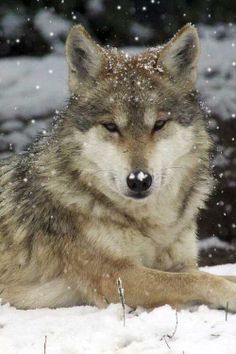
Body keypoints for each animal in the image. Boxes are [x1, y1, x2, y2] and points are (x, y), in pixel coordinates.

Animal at [0, 22, 236, 310]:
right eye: (111, 126)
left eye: (159, 124)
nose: (139, 180)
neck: (151, 225)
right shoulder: (115, 276)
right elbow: (200, 281)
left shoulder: (181, 263)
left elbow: (215, 275)